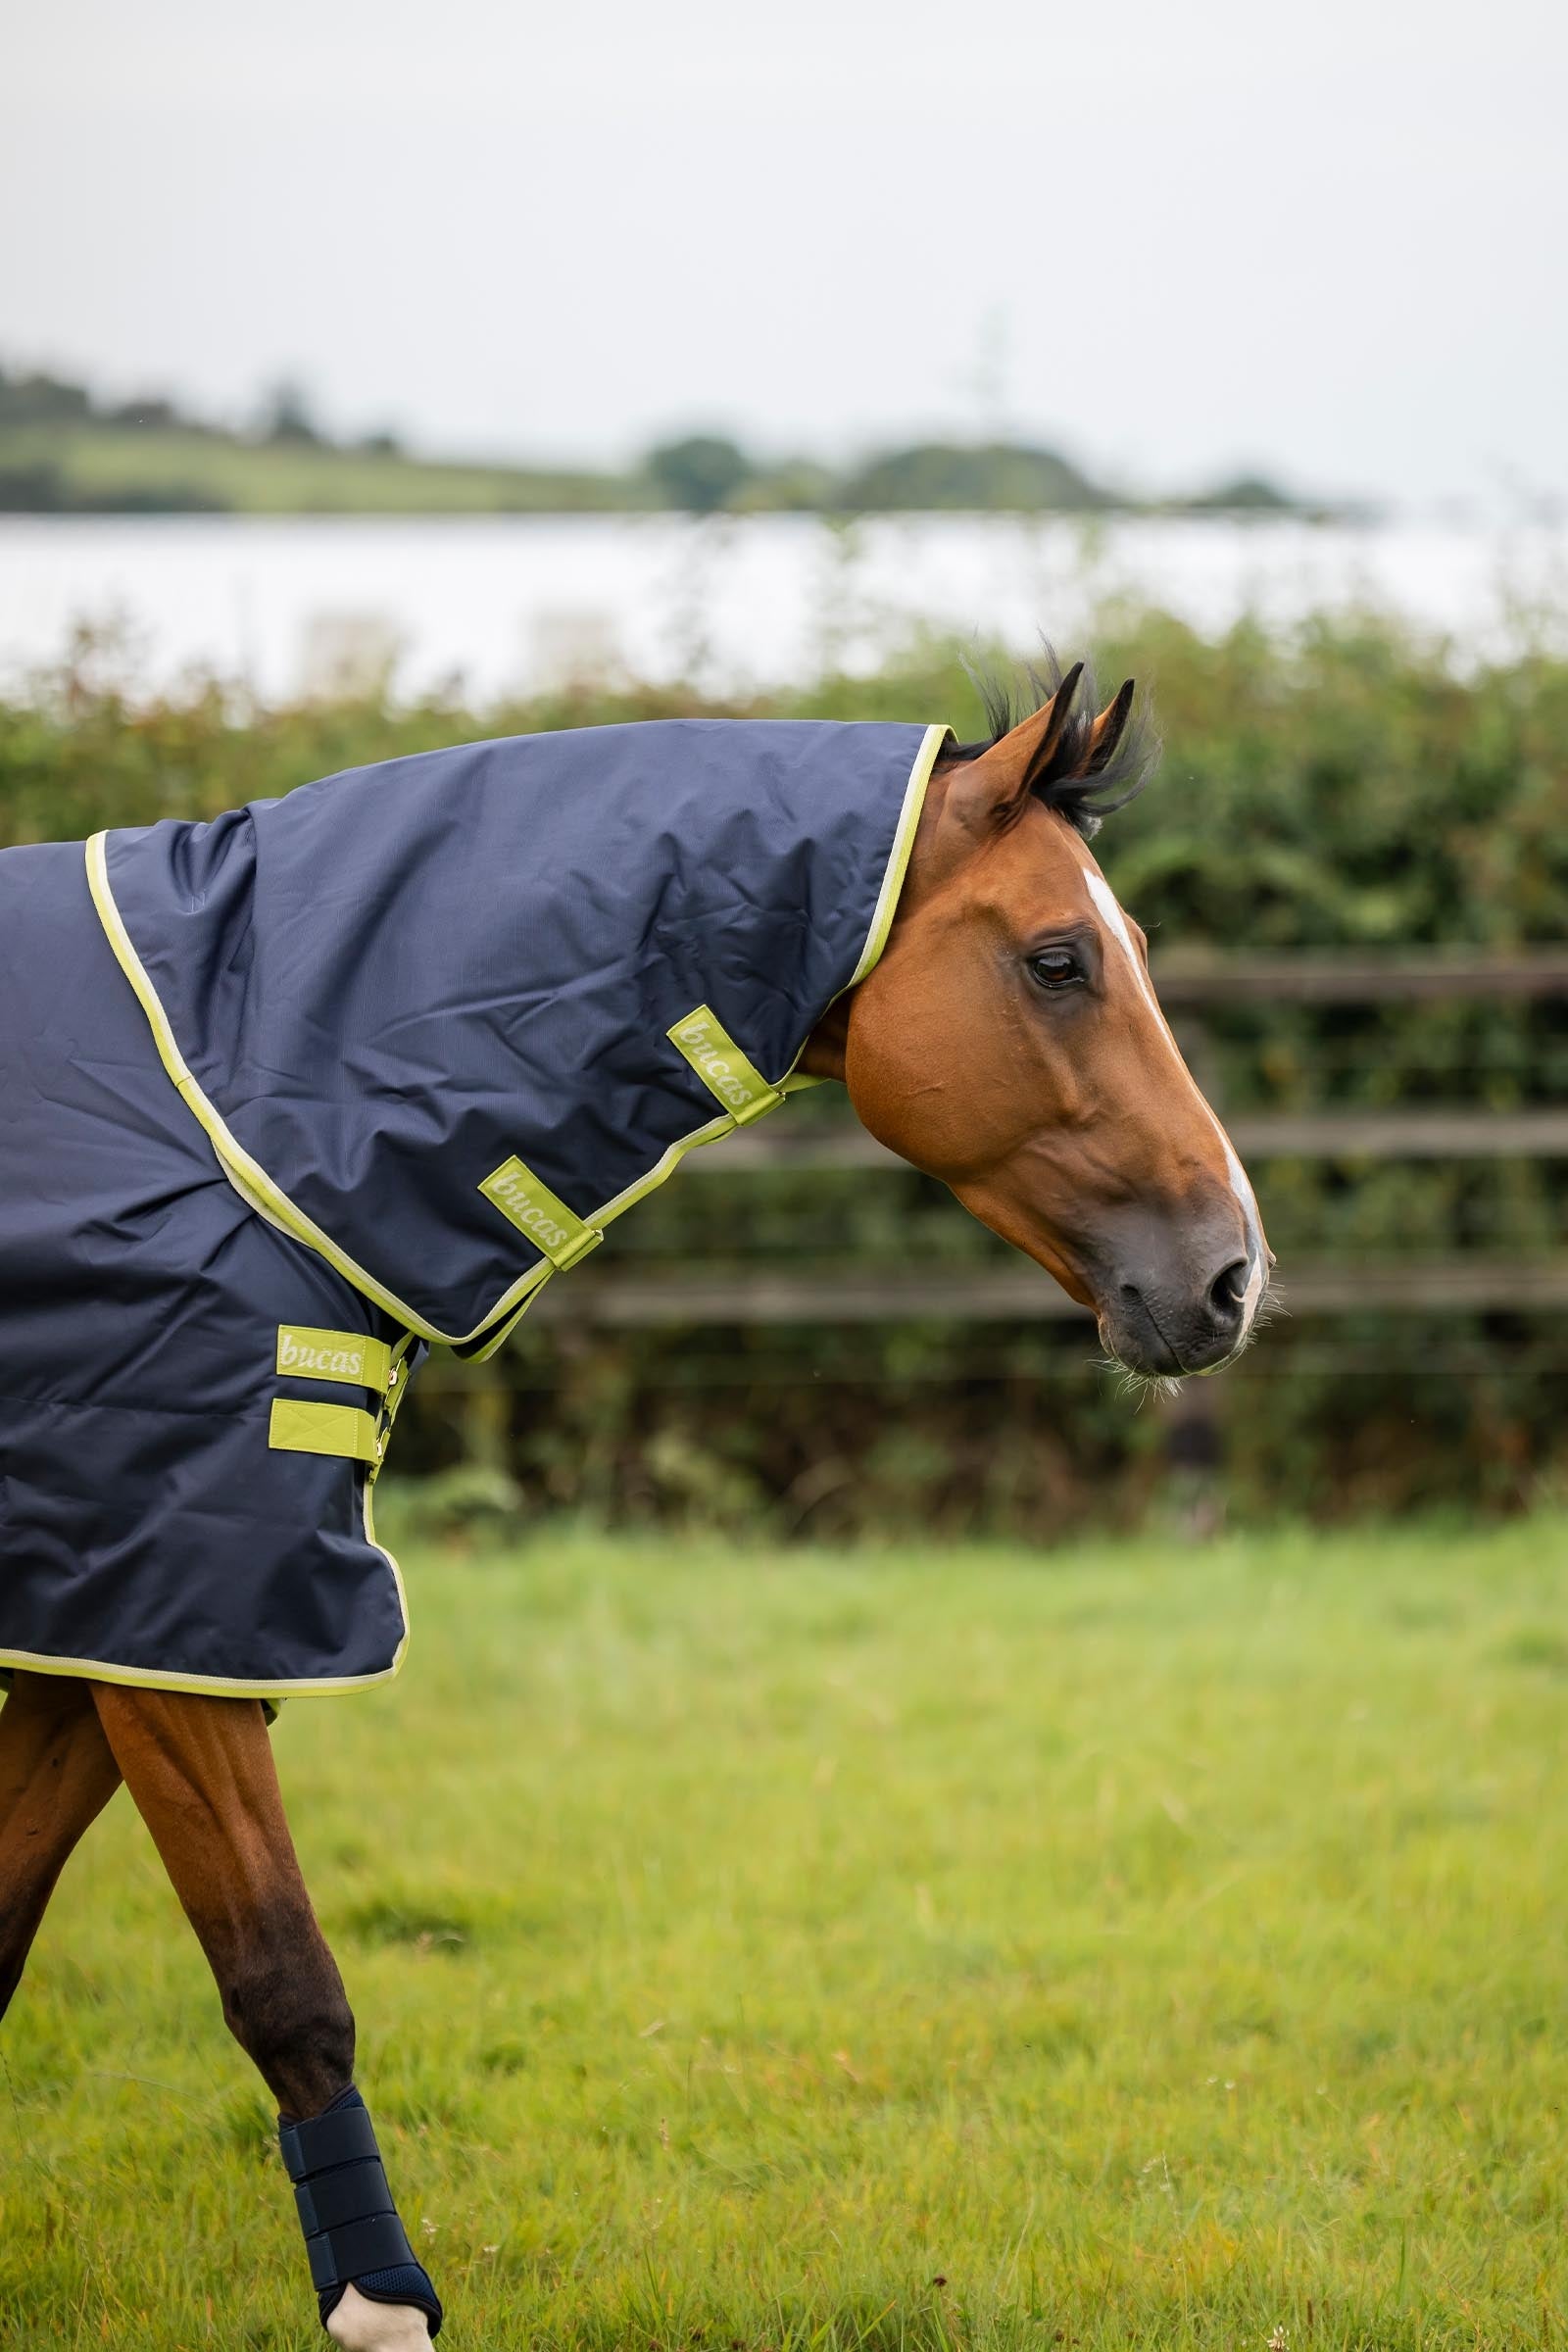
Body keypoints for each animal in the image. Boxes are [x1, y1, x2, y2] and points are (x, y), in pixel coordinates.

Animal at [0, 660, 1270, 2347]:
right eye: (1061, 960)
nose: (1232, 1271)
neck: (224, 1090)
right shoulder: (183, 1602)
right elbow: (284, 1978)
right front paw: (382, 2311)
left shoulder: (118, 1616)